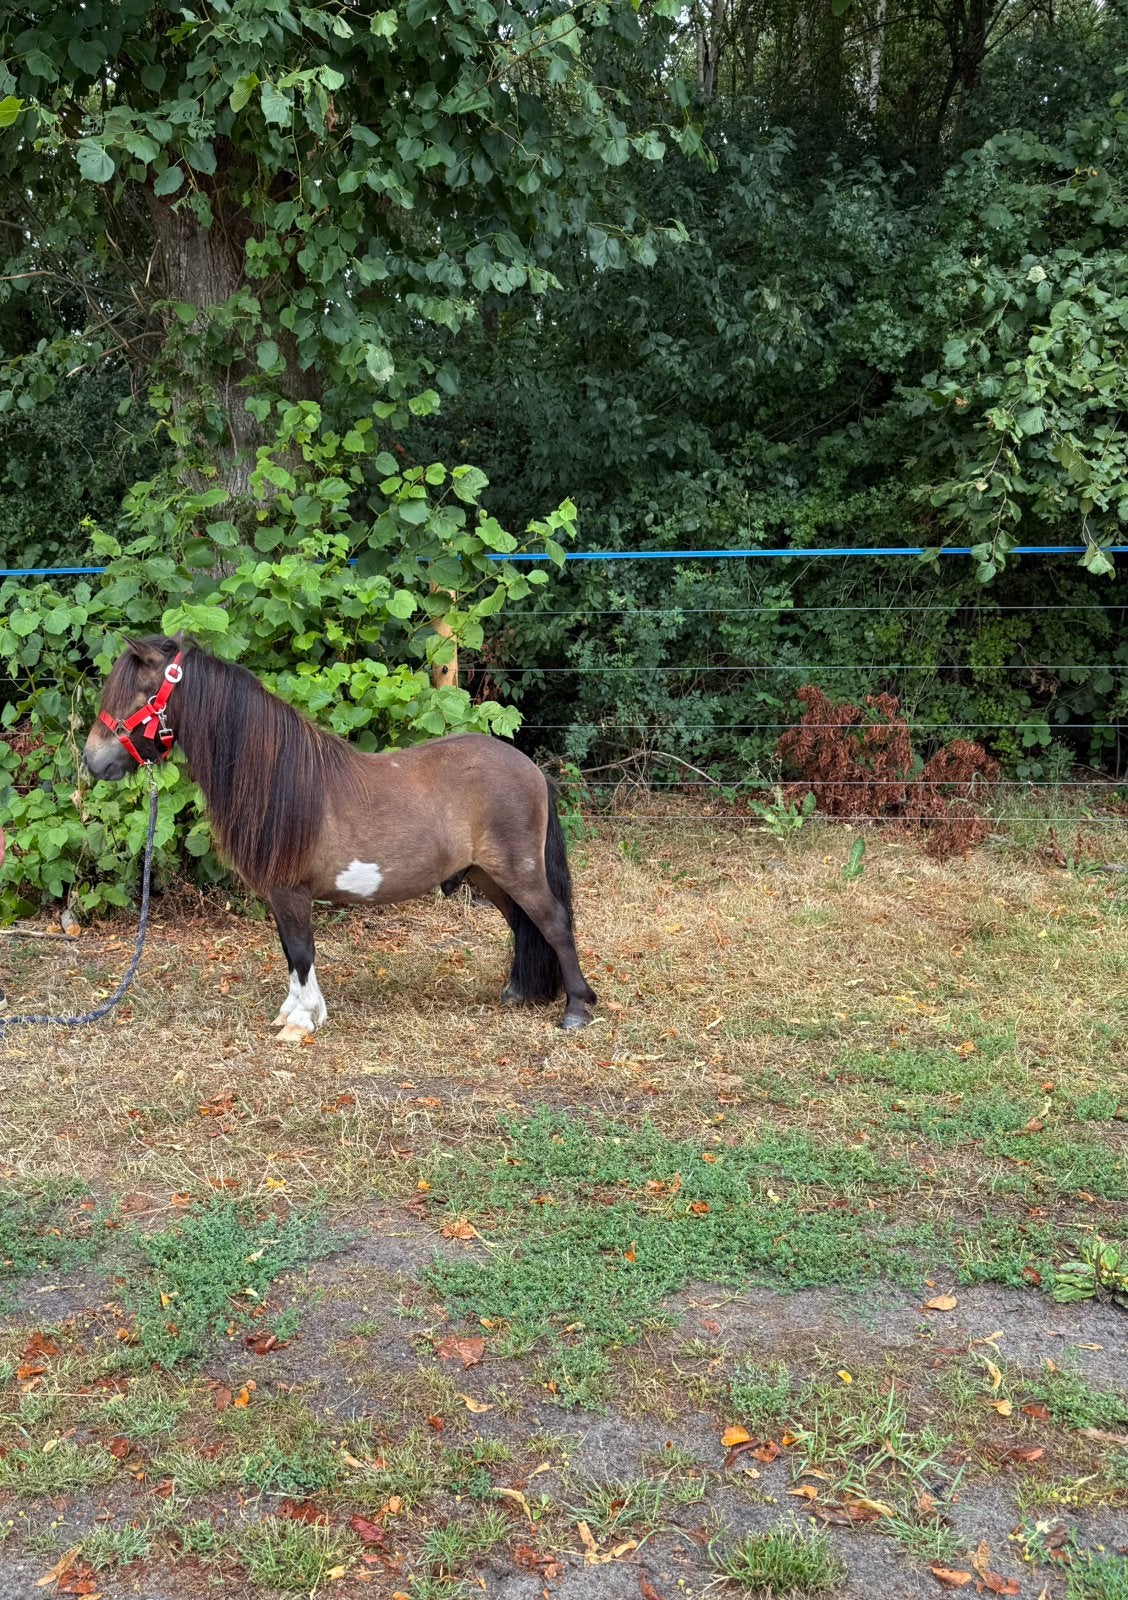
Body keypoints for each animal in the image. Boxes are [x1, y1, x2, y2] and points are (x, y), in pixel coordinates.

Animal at [81, 636, 598, 1038]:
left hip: (518, 870)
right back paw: (518, 992)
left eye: (138, 695)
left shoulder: (291, 892)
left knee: (553, 922)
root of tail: (531, 769)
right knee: (522, 924)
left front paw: (302, 1021)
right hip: (486, 874)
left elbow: (302, 950)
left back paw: (576, 1009)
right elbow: (290, 952)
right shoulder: (280, 895)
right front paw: (292, 1011)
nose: (92, 761)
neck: (280, 779)